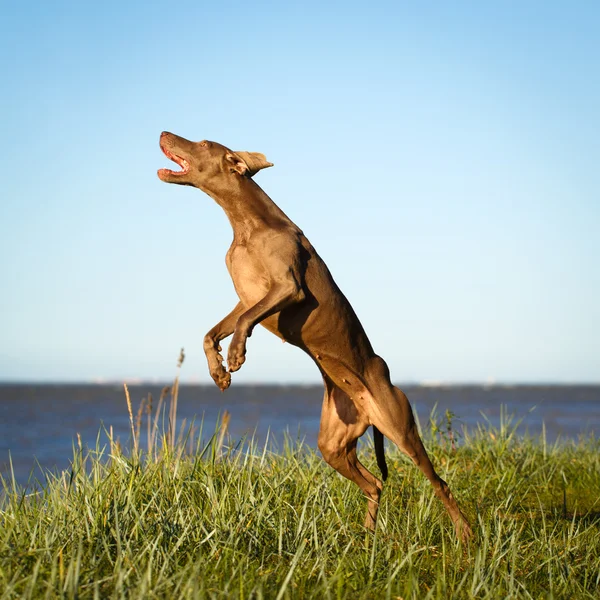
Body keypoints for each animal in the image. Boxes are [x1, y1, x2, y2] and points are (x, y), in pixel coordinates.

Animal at [159, 132, 474, 544]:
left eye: (203, 142)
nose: (164, 133)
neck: (247, 223)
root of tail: (369, 403)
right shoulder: (247, 297)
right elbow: (211, 332)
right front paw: (219, 371)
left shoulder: (287, 290)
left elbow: (244, 322)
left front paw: (237, 354)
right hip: (334, 443)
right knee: (374, 483)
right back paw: (366, 537)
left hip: (401, 430)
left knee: (439, 482)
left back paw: (465, 533)